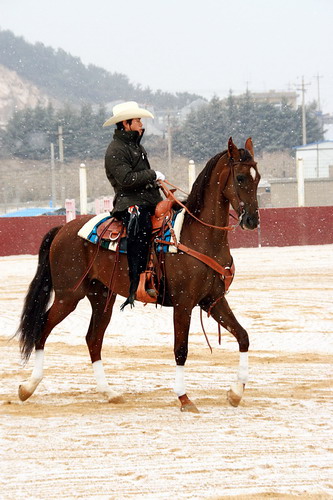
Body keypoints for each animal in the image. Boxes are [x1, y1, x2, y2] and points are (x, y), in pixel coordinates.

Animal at [16, 136, 260, 410]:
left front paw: (236, 392)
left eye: (258, 177)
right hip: (68, 295)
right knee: (43, 328)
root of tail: (62, 229)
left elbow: (243, 336)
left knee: (93, 339)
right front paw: (184, 398)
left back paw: (109, 392)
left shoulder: (213, 300)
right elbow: (181, 349)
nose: (252, 220)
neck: (199, 235)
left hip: (102, 297)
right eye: (240, 177)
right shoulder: (183, 303)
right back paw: (28, 387)